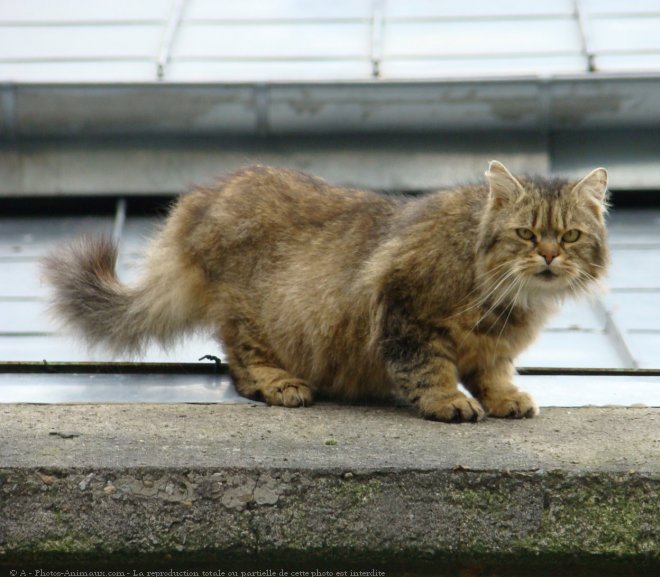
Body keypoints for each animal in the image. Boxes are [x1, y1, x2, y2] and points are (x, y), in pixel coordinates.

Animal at [41, 160, 608, 420]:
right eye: (527, 234)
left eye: (571, 236)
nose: (550, 256)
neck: (512, 299)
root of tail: (200, 200)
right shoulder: (406, 309)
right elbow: (429, 370)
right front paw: (447, 401)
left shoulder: (492, 348)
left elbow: (492, 374)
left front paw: (505, 398)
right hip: (256, 312)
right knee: (240, 363)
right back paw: (281, 385)